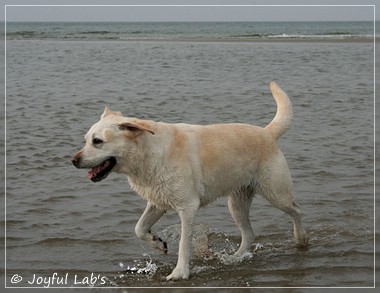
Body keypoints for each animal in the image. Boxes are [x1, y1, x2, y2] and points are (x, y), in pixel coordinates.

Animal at [72, 81, 308, 278]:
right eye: (86, 140)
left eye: (97, 141)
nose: (73, 160)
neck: (147, 153)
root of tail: (267, 133)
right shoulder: (157, 202)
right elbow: (139, 228)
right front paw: (158, 243)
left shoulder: (187, 207)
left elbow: (184, 244)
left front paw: (179, 273)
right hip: (237, 203)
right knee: (249, 234)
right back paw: (235, 258)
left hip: (276, 192)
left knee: (296, 210)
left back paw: (301, 239)